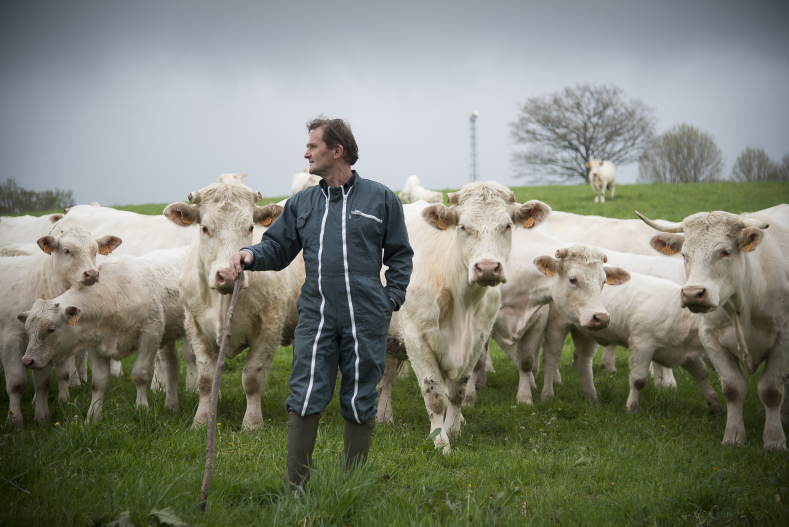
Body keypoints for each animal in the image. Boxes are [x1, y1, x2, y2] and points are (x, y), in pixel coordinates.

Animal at [0, 227, 120, 424]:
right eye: (66, 250)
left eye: (95, 251)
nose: (92, 274)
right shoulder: (11, 338)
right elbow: (17, 383)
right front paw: (15, 420)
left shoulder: (53, 341)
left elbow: (52, 378)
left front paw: (52, 408)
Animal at [164, 182, 304, 428]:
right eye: (204, 228)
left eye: (250, 227)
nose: (229, 274)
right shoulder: (195, 325)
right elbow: (206, 379)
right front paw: (201, 421)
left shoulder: (269, 326)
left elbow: (252, 378)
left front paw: (252, 423)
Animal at [378, 183, 540, 454]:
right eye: (463, 226)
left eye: (507, 225)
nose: (487, 268)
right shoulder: (417, 339)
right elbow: (435, 396)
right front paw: (439, 441)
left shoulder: (477, 339)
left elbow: (458, 391)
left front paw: (453, 429)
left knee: (387, 377)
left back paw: (384, 417)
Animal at [640, 208, 788, 452]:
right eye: (684, 255)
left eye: (725, 252)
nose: (692, 294)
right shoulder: (711, 339)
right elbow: (733, 389)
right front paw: (734, 437)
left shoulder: (783, 339)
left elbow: (771, 391)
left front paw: (775, 440)